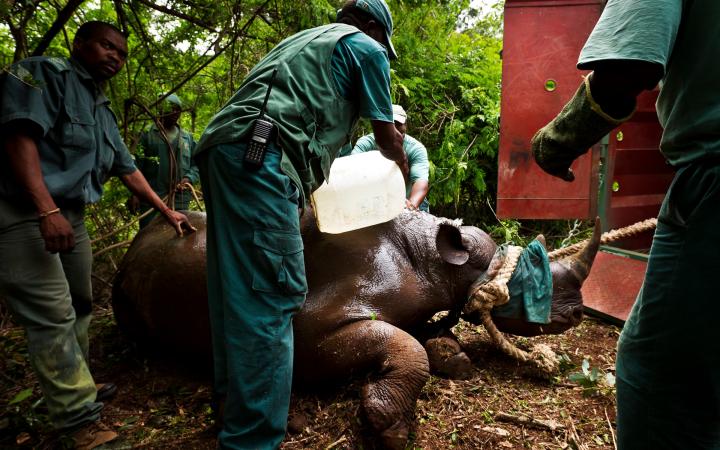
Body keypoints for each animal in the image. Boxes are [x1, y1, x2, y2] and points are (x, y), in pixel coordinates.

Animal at [112, 209, 600, 448]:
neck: (439, 263)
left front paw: (454, 358)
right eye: (532, 282)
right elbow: (402, 344)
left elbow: (421, 336)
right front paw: (390, 427)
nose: (579, 314)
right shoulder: (314, 325)